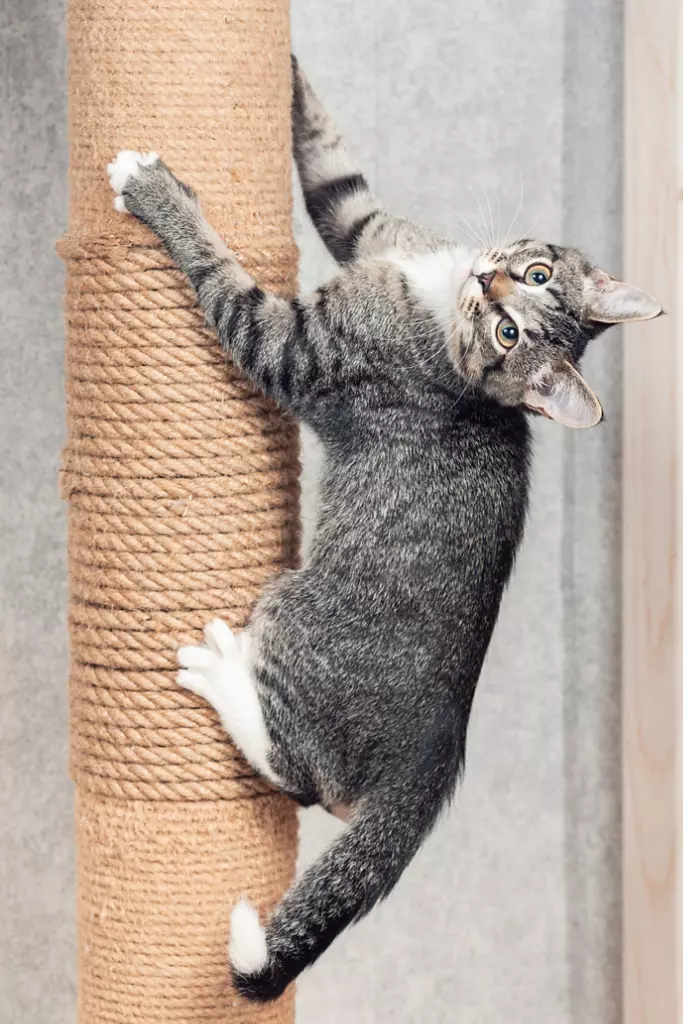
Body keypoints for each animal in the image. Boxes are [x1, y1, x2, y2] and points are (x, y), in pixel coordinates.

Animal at [105, 56, 663, 999]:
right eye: (533, 276)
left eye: (510, 330)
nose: (489, 280)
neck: (434, 301)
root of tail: (431, 763)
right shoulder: (369, 228)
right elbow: (332, 168)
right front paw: (291, 78)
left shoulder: (294, 350)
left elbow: (223, 280)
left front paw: (156, 191)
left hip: (291, 612)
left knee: (297, 778)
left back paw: (220, 674)